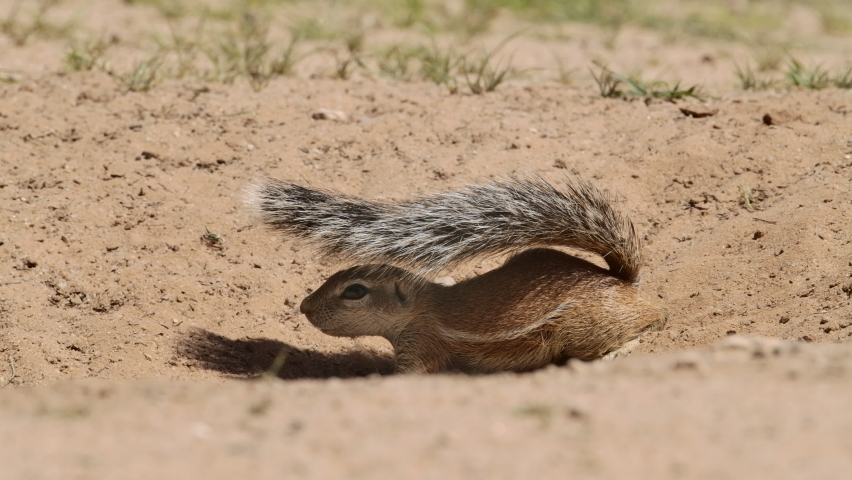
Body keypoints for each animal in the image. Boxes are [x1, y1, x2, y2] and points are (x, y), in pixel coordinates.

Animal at [246, 175, 665, 374]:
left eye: (355, 291)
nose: (304, 306)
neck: (423, 305)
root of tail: (624, 282)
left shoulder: (422, 346)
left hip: (583, 328)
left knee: (644, 330)